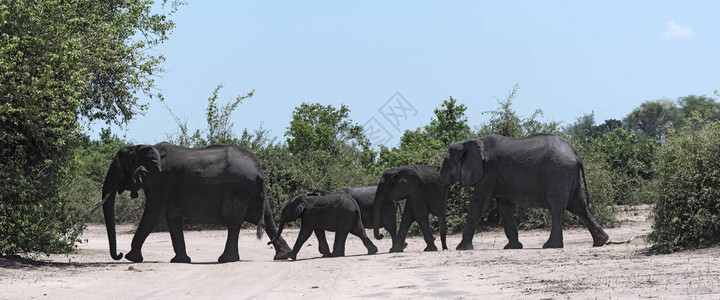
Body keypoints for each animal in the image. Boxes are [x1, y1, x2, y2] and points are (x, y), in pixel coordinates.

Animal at [99, 142, 292, 262]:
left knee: (234, 221)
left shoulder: (161, 182)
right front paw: (180, 261)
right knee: (267, 219)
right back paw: (283, 256)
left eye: (118, 168)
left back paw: (225, 260)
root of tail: (259, 171)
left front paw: (131, 258)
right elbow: (172, 217)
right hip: (254, 192)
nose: (118, 254)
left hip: (240, 189)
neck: (142, 147)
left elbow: (153, 214)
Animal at [438, 135, 612, 250]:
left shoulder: (488, 173)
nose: (445, 249)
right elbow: (505, 208)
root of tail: (576, 154)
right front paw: (512, 247)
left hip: (558, 174)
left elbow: (478, 204)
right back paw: (601, 241)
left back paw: (550, 246)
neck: (469, 142)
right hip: (568, 174)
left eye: (447, 162)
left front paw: (461, 248)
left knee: (557, 209)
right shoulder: (499, 178)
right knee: (578, 206)